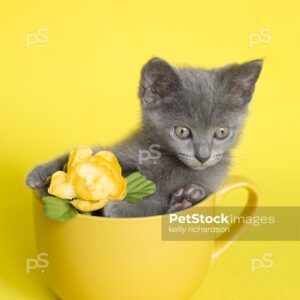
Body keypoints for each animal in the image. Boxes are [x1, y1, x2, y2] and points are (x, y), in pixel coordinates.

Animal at [25, 58, 262, 218]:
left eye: (221, 132)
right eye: (182, 131)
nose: (203, 156)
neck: (167, 161)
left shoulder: (209, 181)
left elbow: (157, 201)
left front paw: (123, 209)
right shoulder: (127, 151)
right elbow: (92, 154)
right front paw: (41, 173)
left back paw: (185, 200)